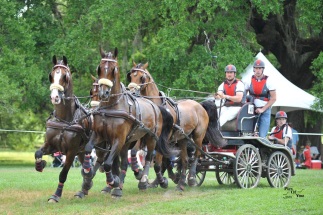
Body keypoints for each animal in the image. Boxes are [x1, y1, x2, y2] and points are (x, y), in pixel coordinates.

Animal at [34, 55, 92, 202]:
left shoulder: (71, 151)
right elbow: (38, 153)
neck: (64, 120)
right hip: (82, 151)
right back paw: (85, 187)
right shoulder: (52, 146)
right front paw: (40, 165)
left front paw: (56, 195)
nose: (54, 97)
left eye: (65, 76)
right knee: (87, 167)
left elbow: (63, 173)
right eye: (51, 75)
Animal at [82, 47, 176, 197]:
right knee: (126, 162)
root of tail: (155, 106)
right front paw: (88, 174)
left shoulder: (119, 139)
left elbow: (109, 163)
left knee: (150, 157)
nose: (104, 93)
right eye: (99, 68)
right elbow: (89, 149)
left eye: (114, 69)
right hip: (130, 141)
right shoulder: (100, 135)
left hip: (151, 138)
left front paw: (113, 181)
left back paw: (145, 180)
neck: (112, 107)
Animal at [127, 61, 228, 191]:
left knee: (197, 154)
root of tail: (199, 105)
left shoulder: (160, 139)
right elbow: (135, 152)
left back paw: (191, 178)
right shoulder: (144, 134)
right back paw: (181, 183)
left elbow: (158, 163)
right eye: (131, 76)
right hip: (183, 139)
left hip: (198, 136)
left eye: (142, 77)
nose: (132, 92)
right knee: (185, 160)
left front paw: (161, 181)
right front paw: (139, 173)